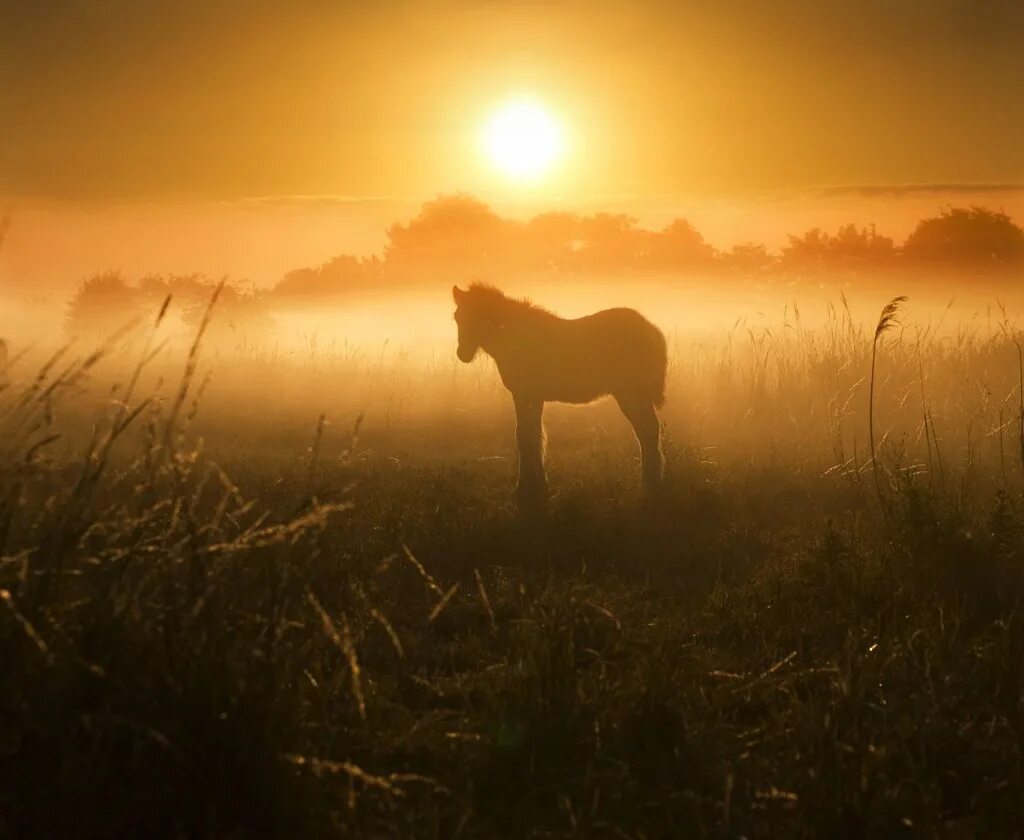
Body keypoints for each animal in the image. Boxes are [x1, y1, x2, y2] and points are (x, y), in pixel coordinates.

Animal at [452, 282, 667, 506]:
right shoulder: (533, 398)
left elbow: (525, 437)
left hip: (631, 394)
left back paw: (649, 484)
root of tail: (651, 329)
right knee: (647, 431)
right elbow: (534, 435)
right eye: (457, 317)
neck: (519, 338)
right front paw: (538, 483)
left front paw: (526, 487)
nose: (463, 354)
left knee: (648, 431)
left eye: (481, 317)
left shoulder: (525, 395)